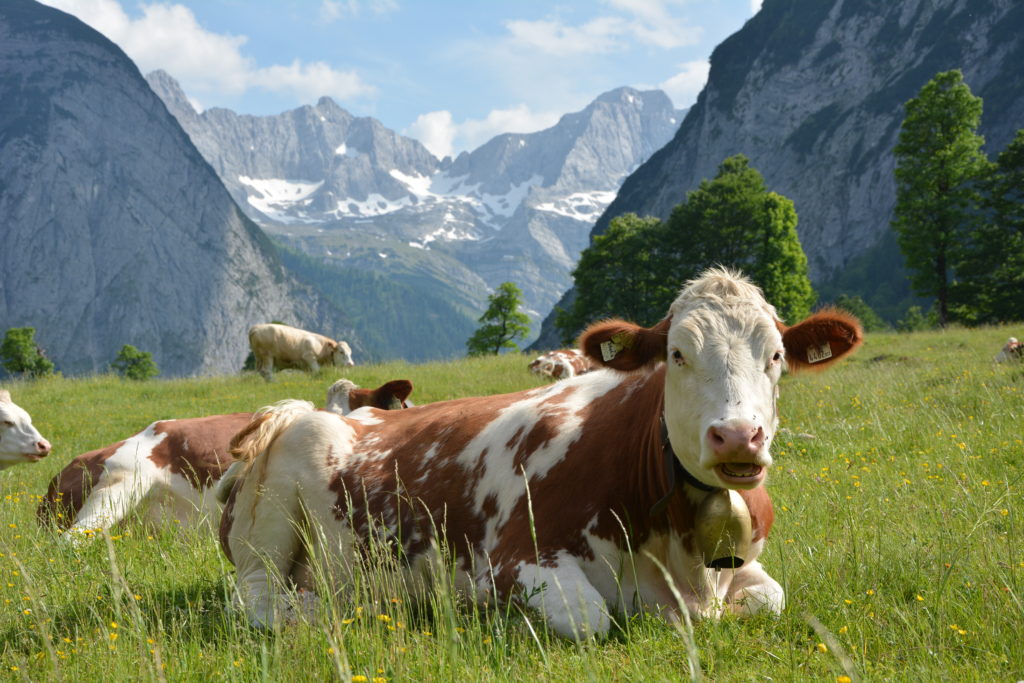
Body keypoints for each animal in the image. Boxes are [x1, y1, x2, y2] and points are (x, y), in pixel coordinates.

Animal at [220, 268, 860, 643]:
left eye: (775, 356)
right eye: (677, 354)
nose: (738, 436)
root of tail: (313, 411)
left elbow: (774, 598)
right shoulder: (512, 561)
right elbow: (592, 619)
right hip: (269, 527)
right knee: (254, 597)